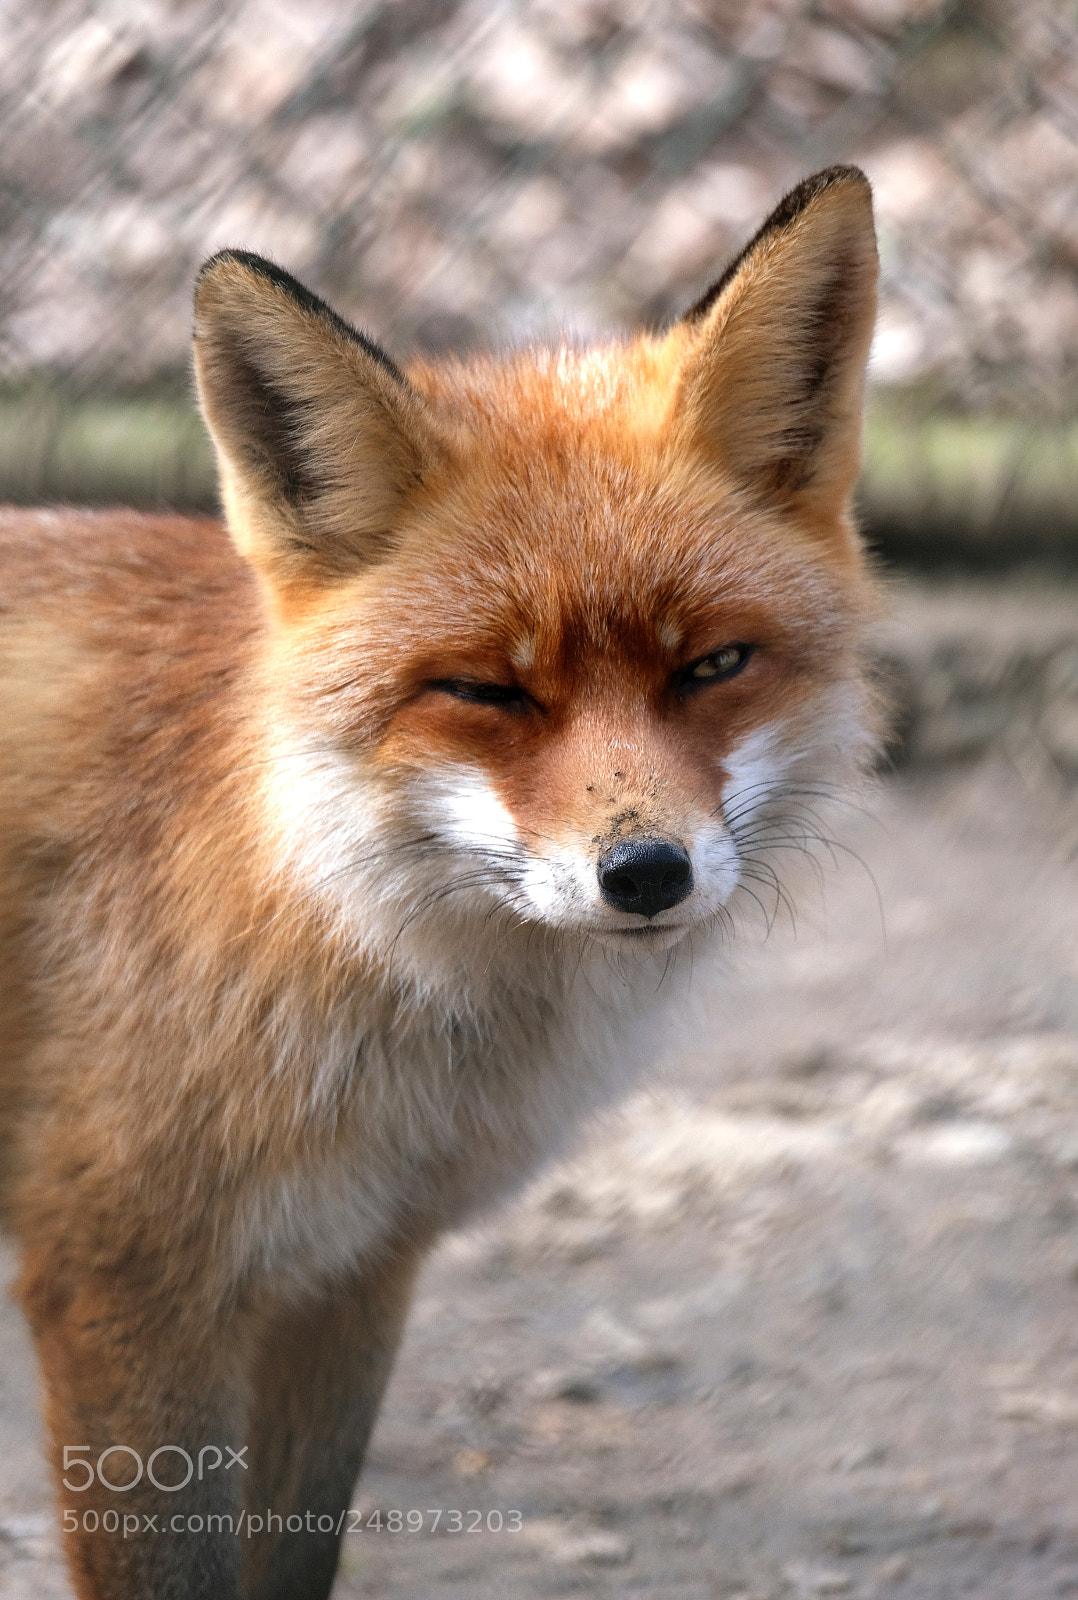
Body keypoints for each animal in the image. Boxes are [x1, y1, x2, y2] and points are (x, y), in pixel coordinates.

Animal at [0, 165, 879, 1599]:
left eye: (710, 665)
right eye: (484, 690)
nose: (646, 873)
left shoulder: (352, 1273)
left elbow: (295, 1553)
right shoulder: (126, 1281)